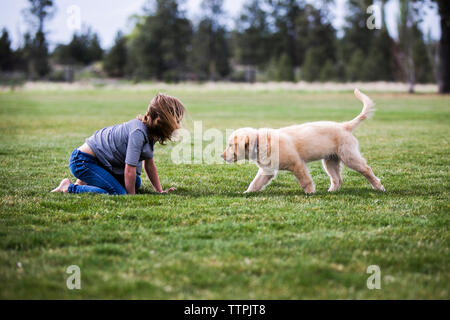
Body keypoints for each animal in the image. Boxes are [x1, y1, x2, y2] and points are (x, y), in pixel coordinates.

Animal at [221, 90, 384, 194]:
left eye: (230, 145)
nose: (221, 156)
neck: (260, 143)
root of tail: (344, 125)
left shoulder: (297, 164)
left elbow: (305, 180)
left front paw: (310, 193)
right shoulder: (267, 171)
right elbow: (255, 183)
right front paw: (246, 193)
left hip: (349, 156)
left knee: (366, 169)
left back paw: (379, 187)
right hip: (330, 160)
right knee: (337, 179)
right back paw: (331, 191)